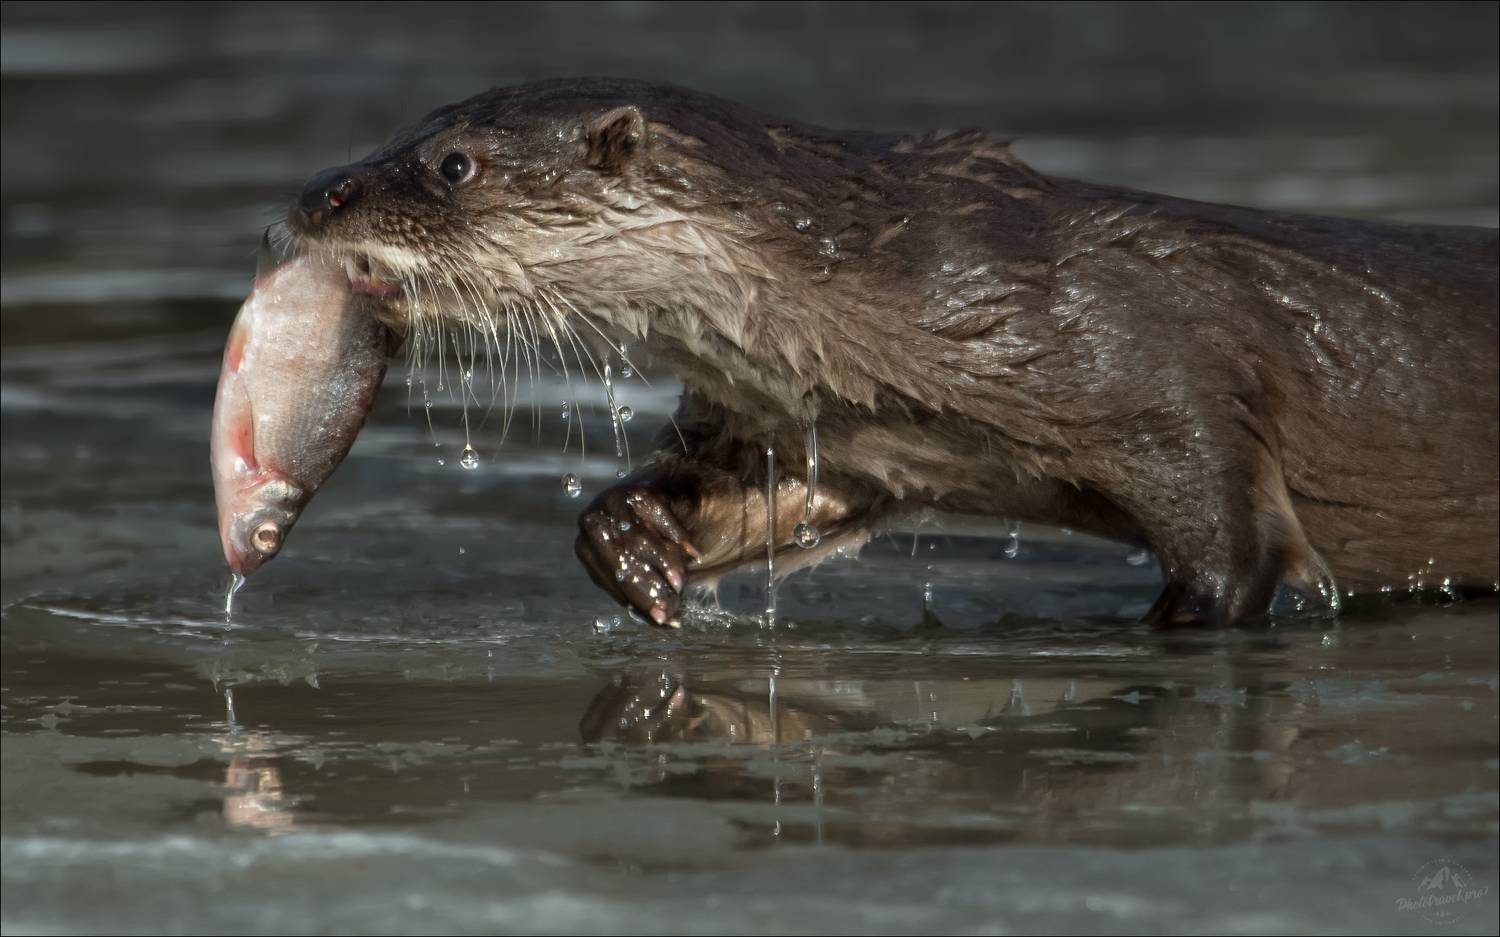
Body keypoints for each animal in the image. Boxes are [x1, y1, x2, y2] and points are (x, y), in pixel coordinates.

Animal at [287, 77, 1499, 628]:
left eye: (453, 164)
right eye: (402, 132)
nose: (315, 194)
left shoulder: (1171, 383)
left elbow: (1231, 561)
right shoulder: (842, 424)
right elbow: (763, 499)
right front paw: (630, 540)